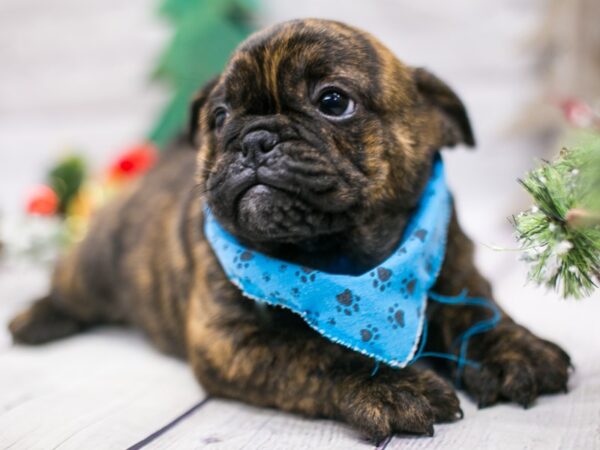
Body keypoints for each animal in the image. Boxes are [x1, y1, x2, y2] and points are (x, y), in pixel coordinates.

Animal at [10, 19, 572, 442]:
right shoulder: (233, 340)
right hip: (93, 267)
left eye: (333, 101)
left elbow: (479, 313)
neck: (339, 257)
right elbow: (320, 352)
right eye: (219, 116)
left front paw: (517, 350)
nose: (253, 139)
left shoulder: (457, 273)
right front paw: (391, 385)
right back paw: (36, 320)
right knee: (66, 288)